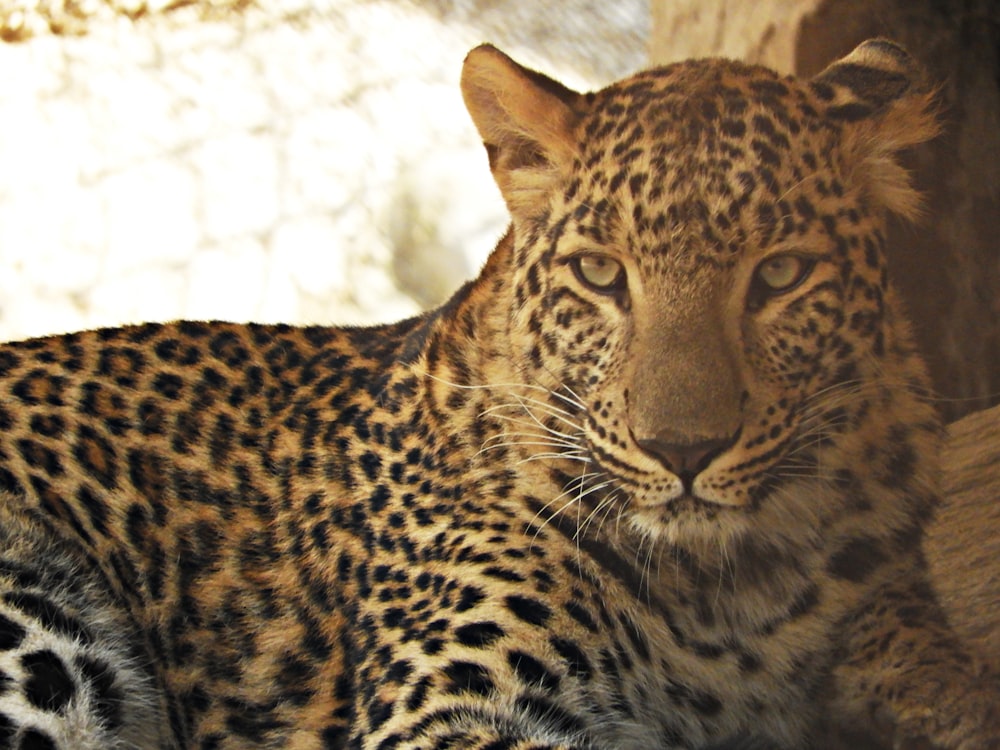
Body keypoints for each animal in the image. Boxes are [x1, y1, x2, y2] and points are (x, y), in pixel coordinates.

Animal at [1, 38, 1000, 750]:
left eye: (781, 274)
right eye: (601, 274)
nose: (682, 450)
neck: (727, 597)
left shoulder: (885, 613)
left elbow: (932, 675)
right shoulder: (451, 708)